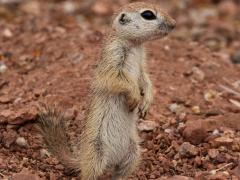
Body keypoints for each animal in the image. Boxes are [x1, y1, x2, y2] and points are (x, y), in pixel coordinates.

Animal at [38, 1, 176, 180]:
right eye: (148, 15)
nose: (174, 24)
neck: (135, 45)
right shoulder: (112, 59)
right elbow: (117, 79)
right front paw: (135, 96)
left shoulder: (142, 64)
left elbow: (145, 79)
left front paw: (147, 101)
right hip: (96, 153)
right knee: (88, 174)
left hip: (133, 153)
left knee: (119, 173)